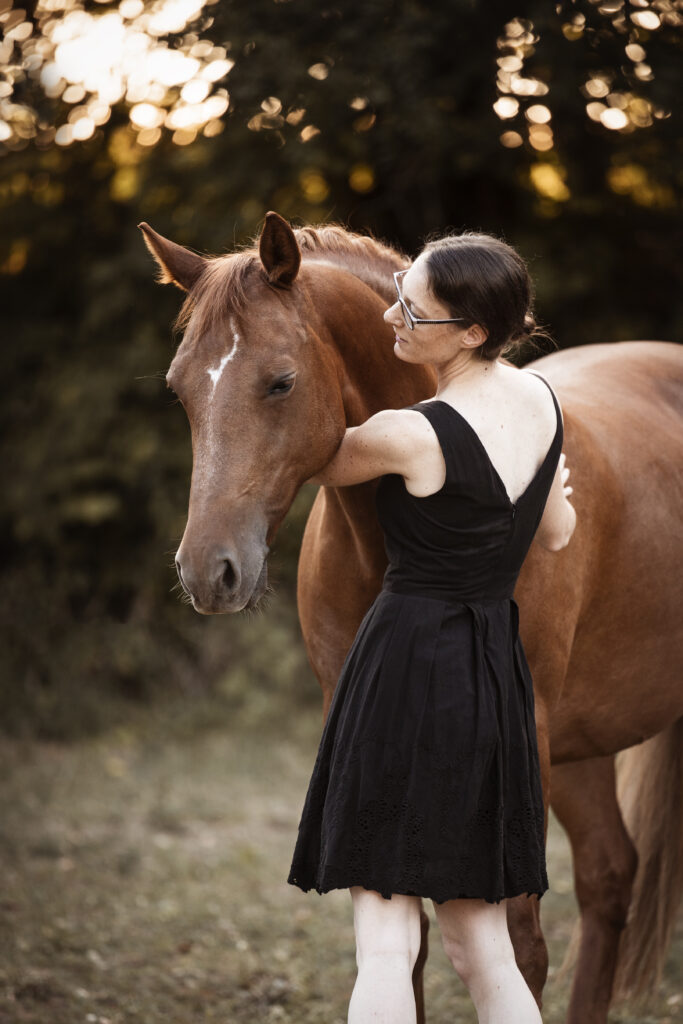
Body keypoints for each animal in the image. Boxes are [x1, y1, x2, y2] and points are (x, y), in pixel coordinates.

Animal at [140, 209, 683, 1024]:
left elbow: (519, 950)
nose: (210, 571)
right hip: (577, 750)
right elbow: (413, 952)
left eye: (280, 382)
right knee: (608, 876)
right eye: (179, 391)